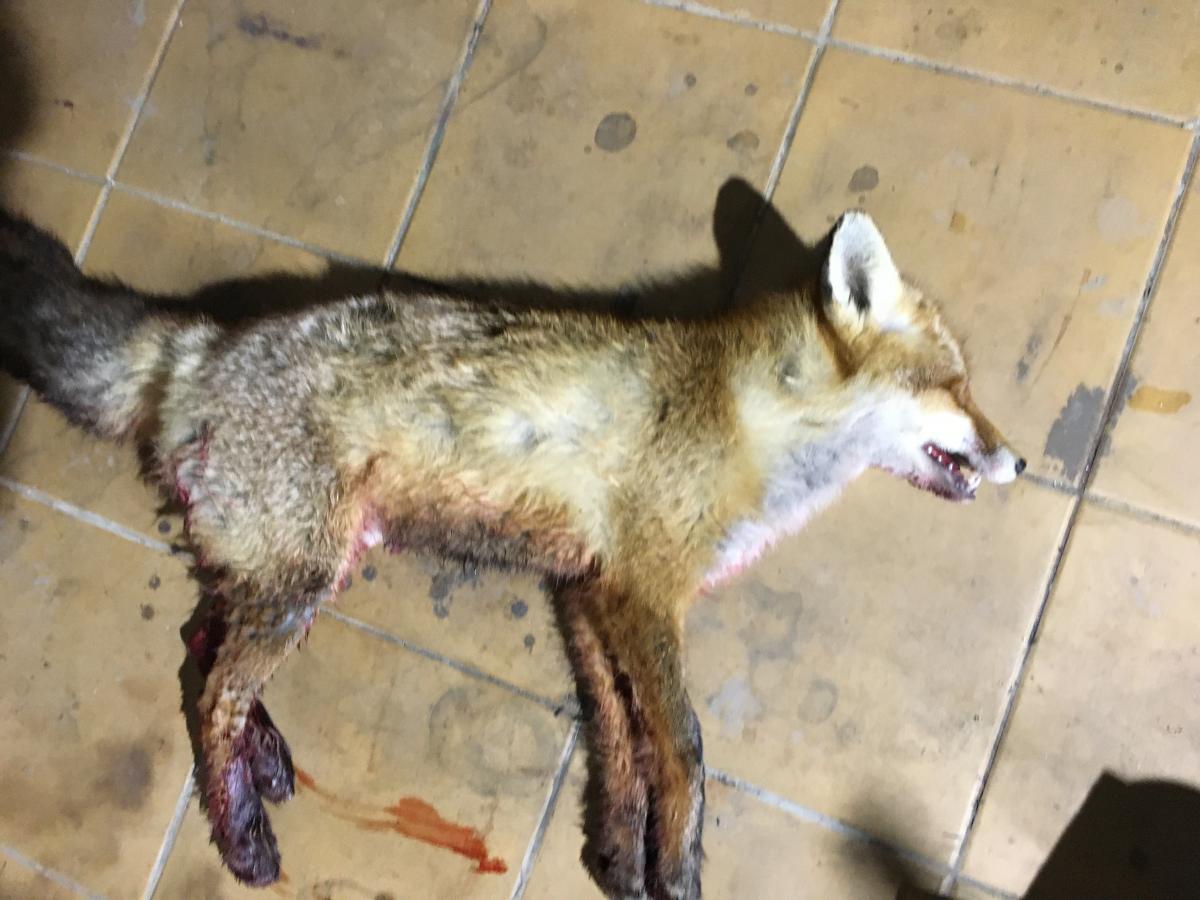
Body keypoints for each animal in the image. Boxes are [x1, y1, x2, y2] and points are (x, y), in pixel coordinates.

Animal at [0, 205, 1023, 900]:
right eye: (955, 388)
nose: (1019, 462)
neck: (749, 425)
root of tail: (203, 341)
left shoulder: (586, 589)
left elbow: (619, 739)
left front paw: (619, 855)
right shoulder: (642, 593)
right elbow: (684, 747)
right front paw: (678, 870)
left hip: (281, 569)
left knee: (201, 648)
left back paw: (265, 763)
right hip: (302, 578)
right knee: (213, 692)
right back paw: (245, 837)